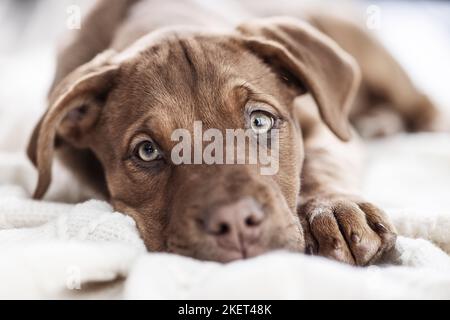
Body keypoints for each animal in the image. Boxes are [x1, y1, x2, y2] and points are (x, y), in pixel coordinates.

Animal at [25, 0, 440, 264]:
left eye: (259, 121)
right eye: (147, 151)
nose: (237, 224)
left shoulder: (326, 126)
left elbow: (321, 162)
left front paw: (334, 208)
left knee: (421, 102)